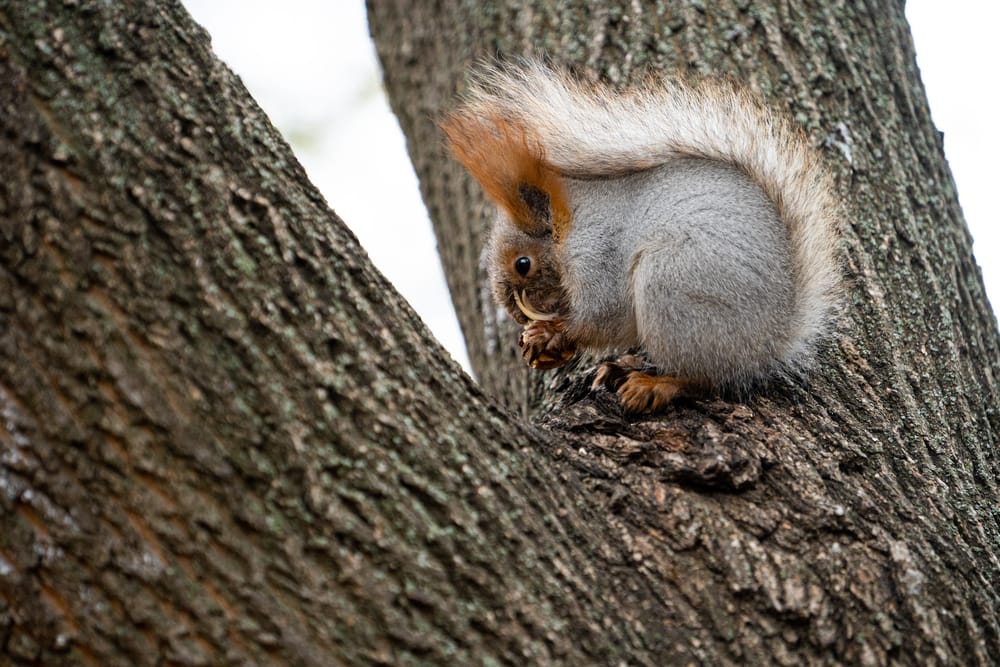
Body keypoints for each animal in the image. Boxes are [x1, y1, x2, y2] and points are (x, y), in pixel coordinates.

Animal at [442, 59, 841, 413]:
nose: (516, 316)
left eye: (522, 263)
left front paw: (552, 334)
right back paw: (624, 368)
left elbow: (604, 314)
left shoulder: (597, 254)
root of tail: (774, 339)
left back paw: (655, 385)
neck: (573, 223)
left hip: (673, 286)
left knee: (705, 379)